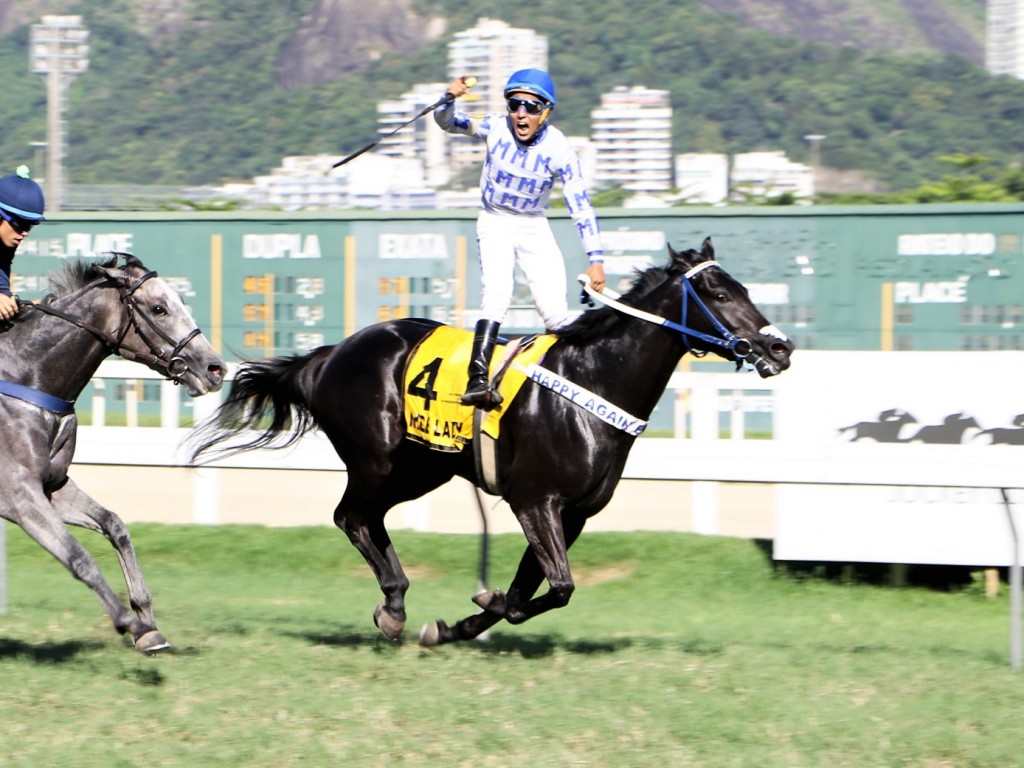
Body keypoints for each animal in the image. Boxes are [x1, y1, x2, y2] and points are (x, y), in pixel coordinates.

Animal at [0, 253, 223, 655]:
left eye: (180, 300)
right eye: (159, 308)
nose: (215, 368)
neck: (27, 378)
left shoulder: (51, 487)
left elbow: (114, 525)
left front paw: (148, 621)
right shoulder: (18, 495)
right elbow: (78, 557)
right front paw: (131, 624)